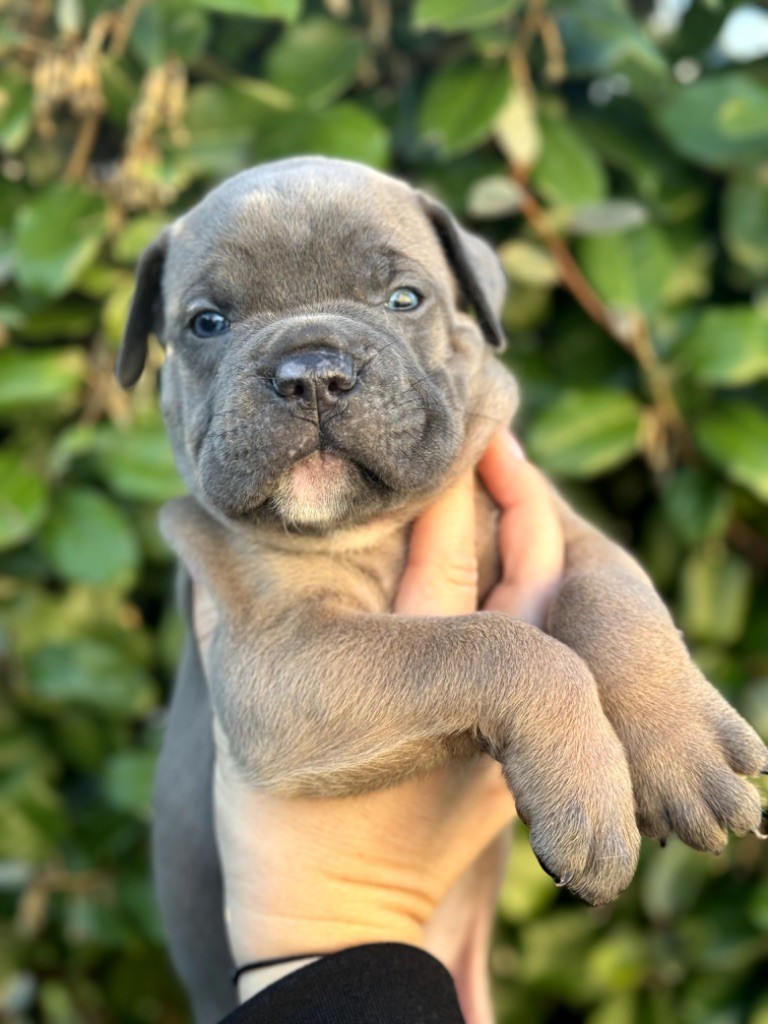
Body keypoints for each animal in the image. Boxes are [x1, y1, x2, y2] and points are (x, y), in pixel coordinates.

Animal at [118, 157, 768, 1024]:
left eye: (405, 299)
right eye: (207, 324)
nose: (312, 373)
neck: (378, 527)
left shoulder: (569, 534)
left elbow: (616, 604)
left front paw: (686, 751)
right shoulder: (277, 658)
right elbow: (495, 643)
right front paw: (588, 799)